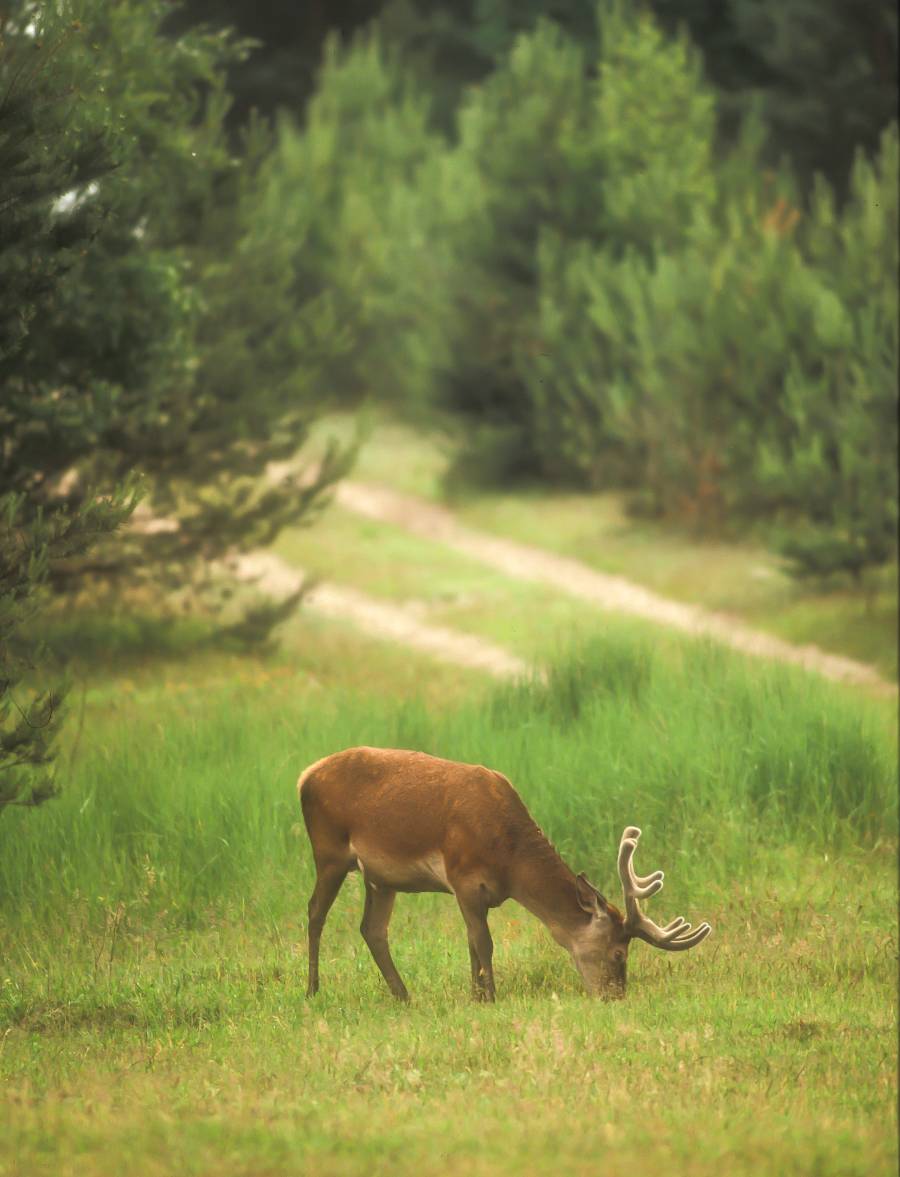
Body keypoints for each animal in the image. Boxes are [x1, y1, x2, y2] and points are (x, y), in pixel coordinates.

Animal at [298, 748, 710, 998]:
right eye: (619, 953)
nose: (615, 996)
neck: (510, 863)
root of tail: (305, 776)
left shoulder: (478, 892)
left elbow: (470, 942)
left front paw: (476, 995)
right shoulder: (463, 877)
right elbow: (484, 943)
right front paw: (491, 997)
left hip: (380, 877)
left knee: (372, 928)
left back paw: (404, 995)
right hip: (329, 850)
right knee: (315, 911)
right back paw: (313, 989)